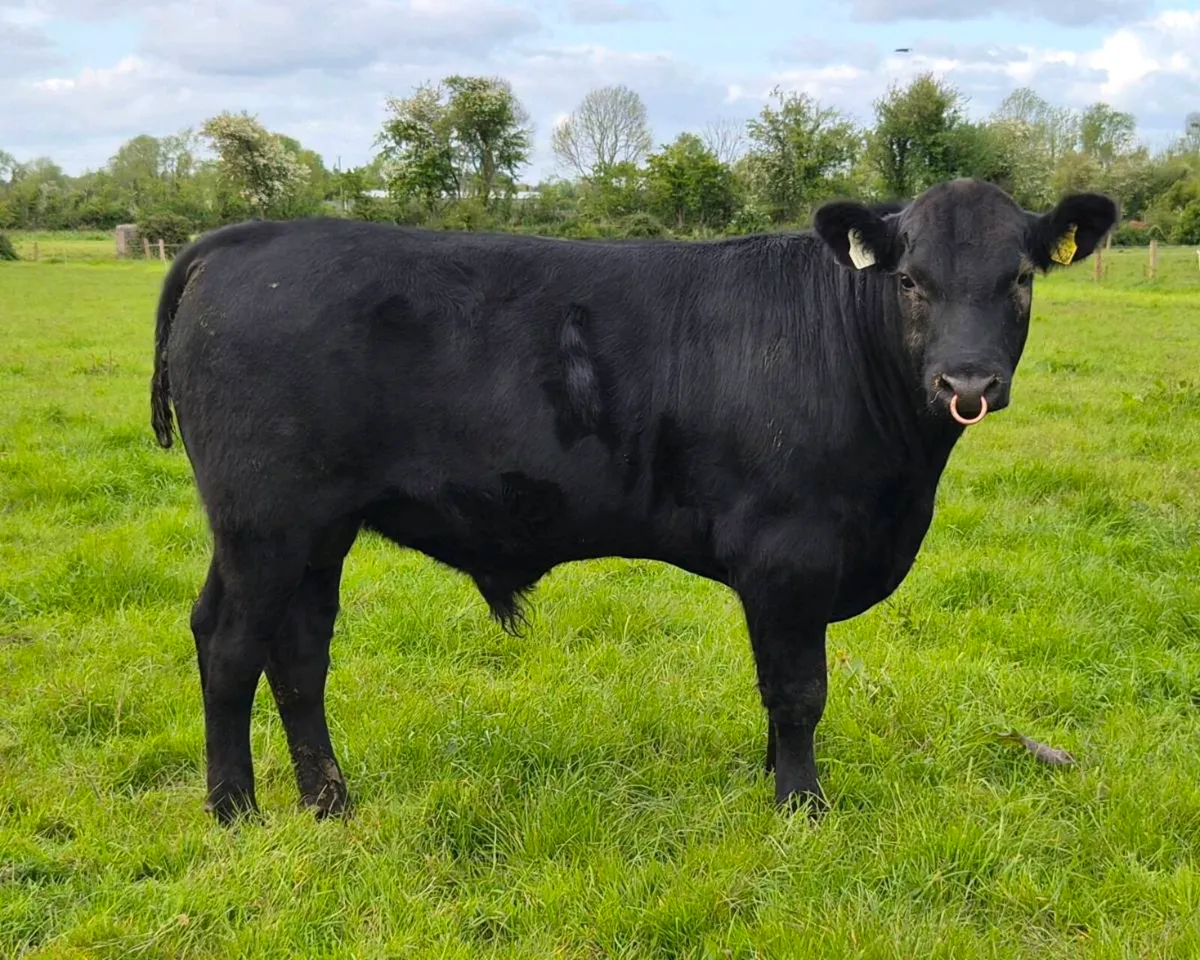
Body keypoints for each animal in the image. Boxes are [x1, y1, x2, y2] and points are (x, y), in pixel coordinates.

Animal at [150, 178, 1117, 824]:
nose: (968, 383)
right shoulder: (788, 552)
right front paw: (801, 806)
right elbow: (799, 689)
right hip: (265, 521)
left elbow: (775, 690)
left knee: (298, 654)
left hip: (315, 528)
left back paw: (330, 800)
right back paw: (235, 810)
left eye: (1020, 279)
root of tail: (239, 241)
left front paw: (772, 779)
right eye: (911, 281)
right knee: (231, 647)